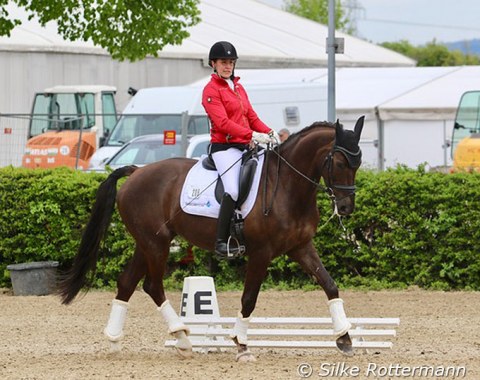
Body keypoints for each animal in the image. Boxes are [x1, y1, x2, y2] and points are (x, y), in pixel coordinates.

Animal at [59, 116, 364, 362]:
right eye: (339, 162)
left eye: (358, 163)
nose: (346, 208)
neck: (287, 186)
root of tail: (137, 171)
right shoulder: (261, 252)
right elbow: (249, 299)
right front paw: (241, 345)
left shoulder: (301, 247)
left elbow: (330, 285)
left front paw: (344, 338)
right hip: (156, 245)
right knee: (152, 286)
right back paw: (182, 338)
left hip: (146, 243)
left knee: (126, 283)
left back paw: (114, 340)